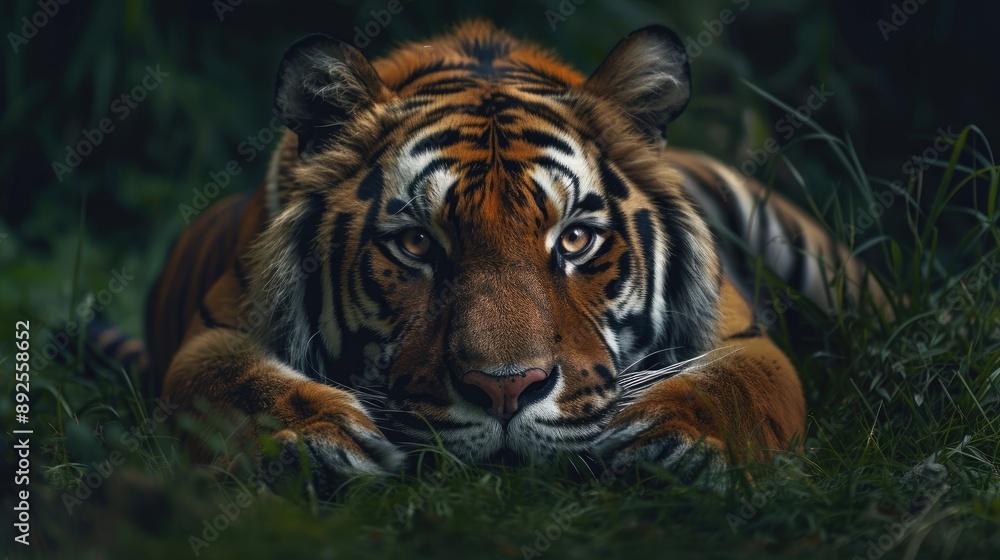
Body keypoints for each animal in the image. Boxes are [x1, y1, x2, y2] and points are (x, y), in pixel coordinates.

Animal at [144, 21, 881, 493]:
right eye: (417, 243)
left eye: (576, 240)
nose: (505, 389)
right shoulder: (213, 334)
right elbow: (236, 386)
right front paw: (317, 440)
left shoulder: (747, 338)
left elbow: (737, 386)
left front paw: (674, 436)